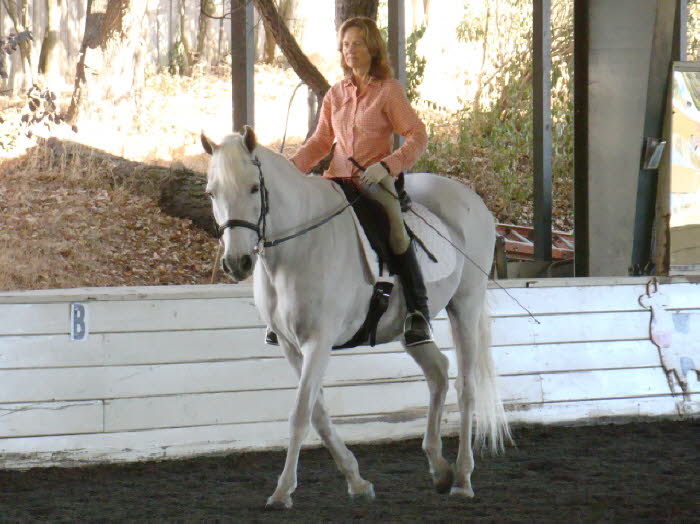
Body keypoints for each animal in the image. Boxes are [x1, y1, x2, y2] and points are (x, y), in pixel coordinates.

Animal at [202, 126, 508, 508]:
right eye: (212, 193)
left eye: (254, 188)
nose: (237, 262)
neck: (296, 248)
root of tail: (472, 198)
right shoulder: (290, 346)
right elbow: (317, 413)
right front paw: (357, 481)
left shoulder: (318, 342)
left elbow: (300, 414)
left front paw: (282, 491)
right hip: (408, 329)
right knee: (438, 372)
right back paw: (440, 468)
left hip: (465, 305)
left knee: (466, 388)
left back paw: (463, 478)